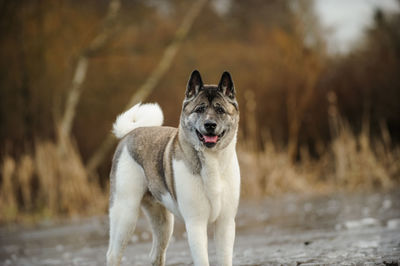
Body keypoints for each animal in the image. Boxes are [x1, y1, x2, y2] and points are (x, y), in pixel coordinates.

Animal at [104, 70, 241, 266]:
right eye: (199, 109)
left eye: (220, 110)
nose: (210, 125)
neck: (212, 159)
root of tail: (131, 133)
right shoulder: (195, 224)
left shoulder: (226, 224)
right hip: (125, 213)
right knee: (113, 254)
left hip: (164, 223)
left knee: (155, 255)